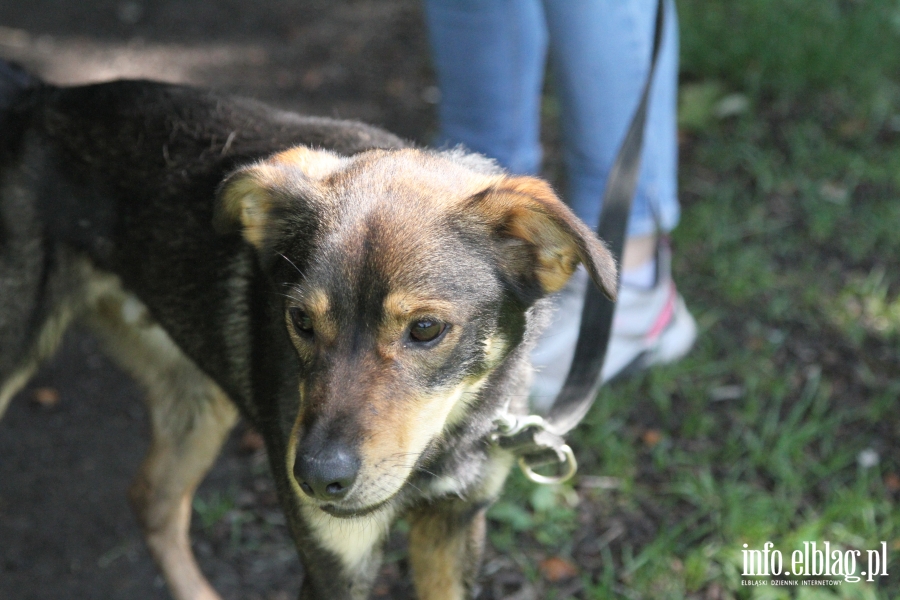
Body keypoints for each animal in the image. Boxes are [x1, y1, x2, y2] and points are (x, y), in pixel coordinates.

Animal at [0, 62, 616, 600]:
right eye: (299, 320)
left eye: (425, 329)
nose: (317, 480)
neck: (446, 442)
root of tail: (39, 96)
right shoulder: (336, 562)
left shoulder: (455, 522)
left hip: (197, 396)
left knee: (151, 498)